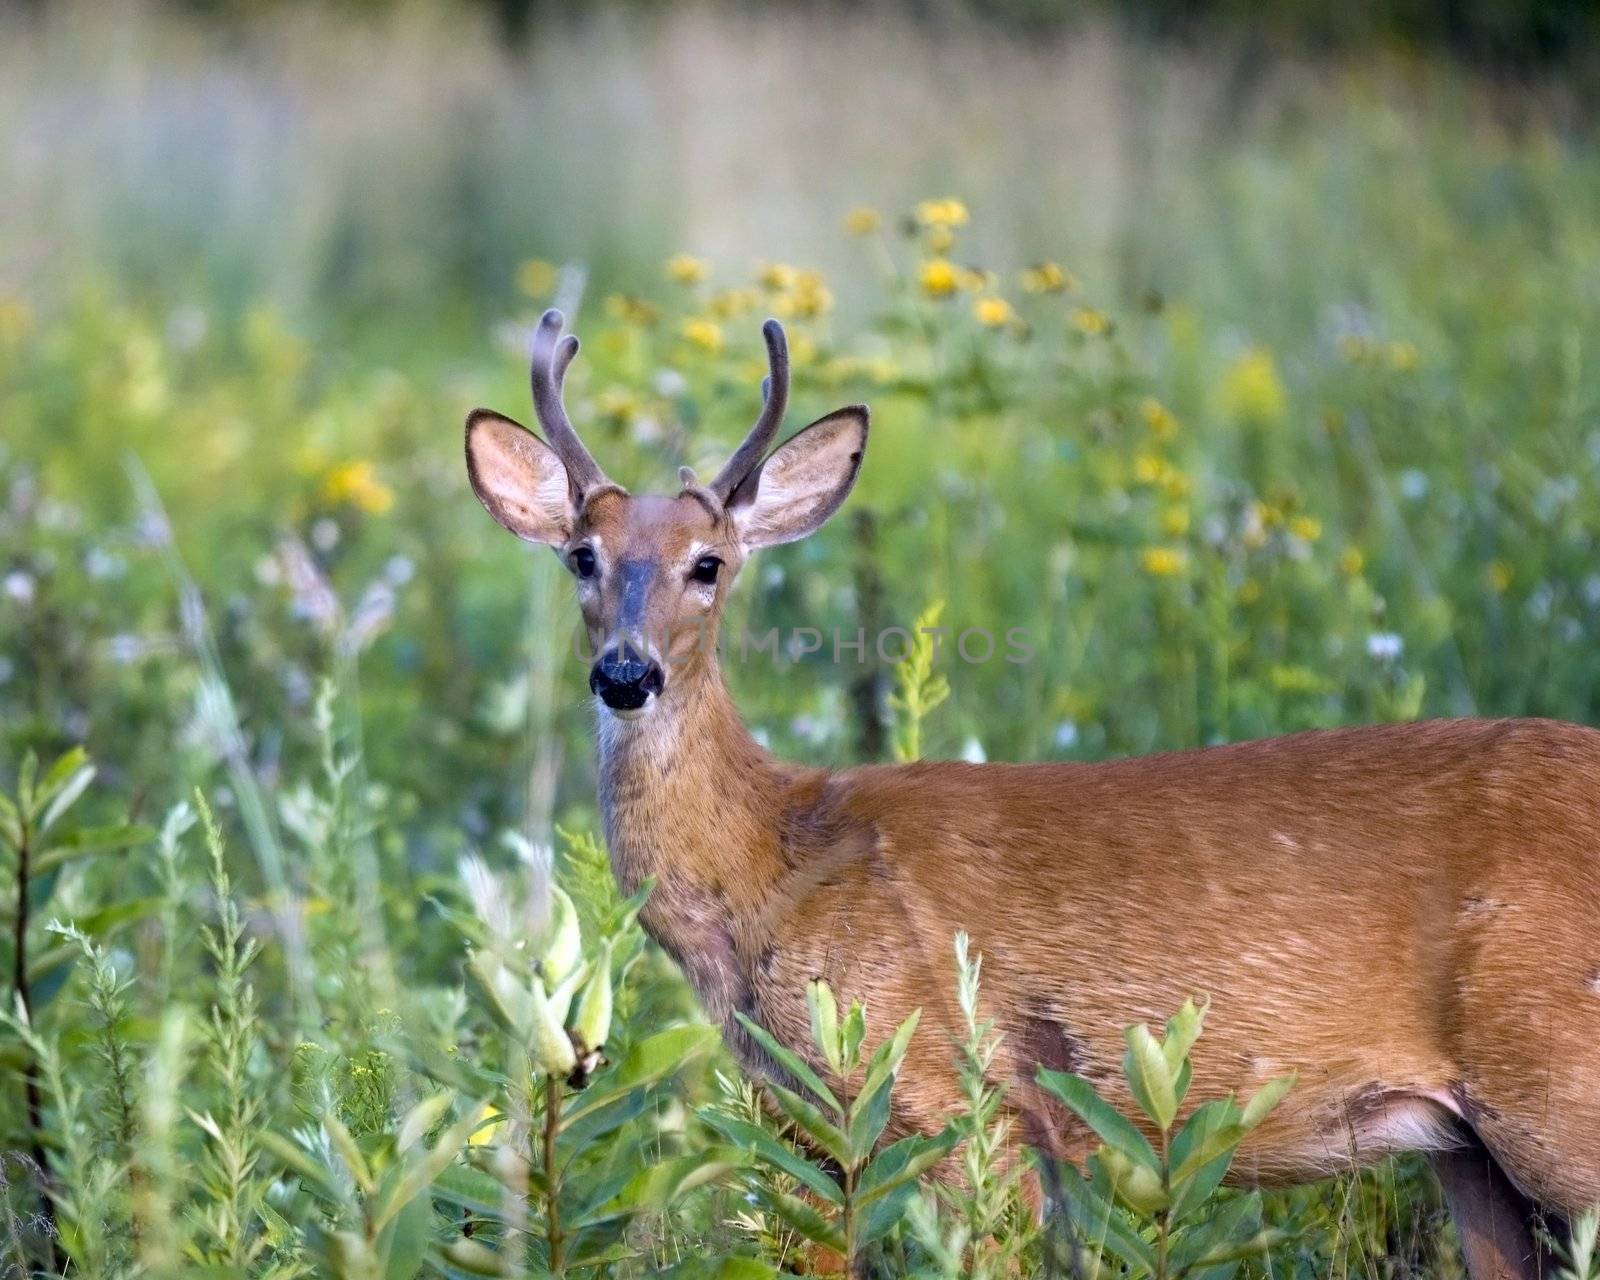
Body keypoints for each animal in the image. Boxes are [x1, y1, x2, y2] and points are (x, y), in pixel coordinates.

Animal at [464, 310, 1600, 1280]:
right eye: (581, 556)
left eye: (708, 563)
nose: (626, 673)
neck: (777, 863)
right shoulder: (818, 1123)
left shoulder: (969, 1100)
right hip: (1473, 1150)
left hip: (1554, 1080)